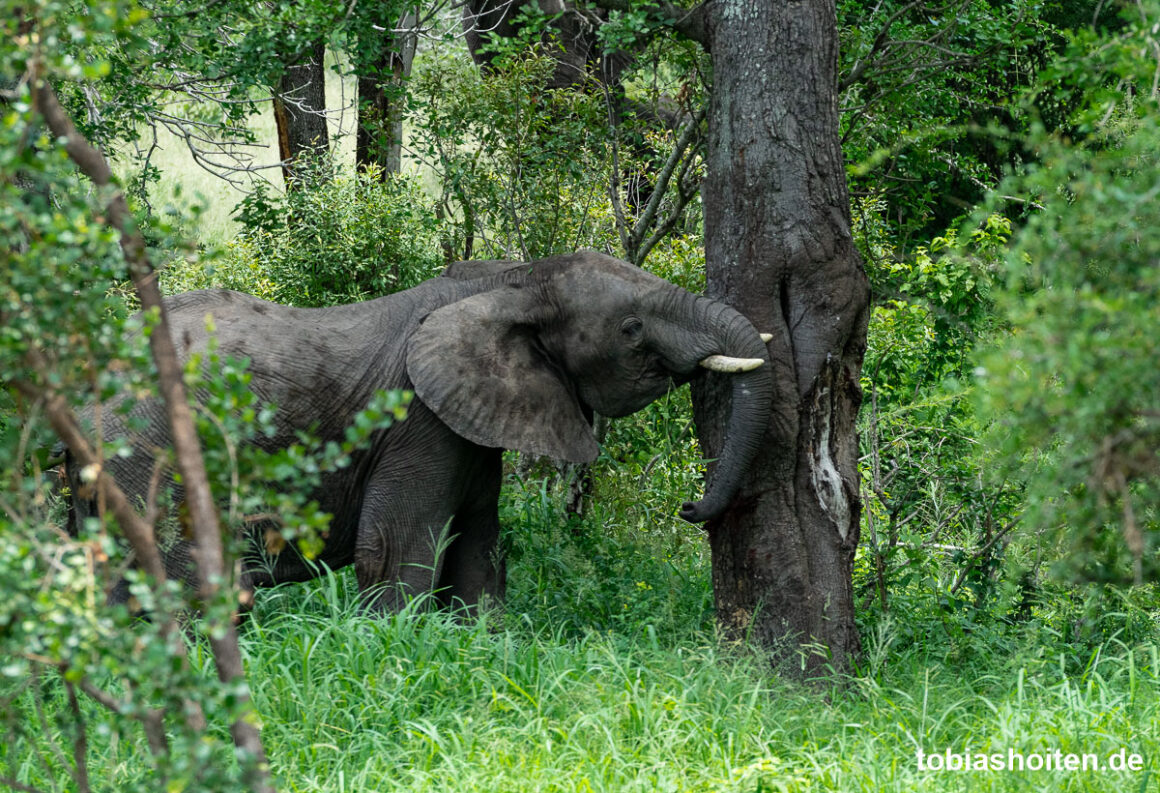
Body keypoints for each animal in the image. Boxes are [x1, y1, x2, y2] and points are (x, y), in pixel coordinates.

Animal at [61, 250, 770, 612]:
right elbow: (398, 549)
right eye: (631, 328)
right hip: (147, 453)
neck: (509, 281)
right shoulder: (418, 421)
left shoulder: (469, 425)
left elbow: (478, 551)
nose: (691, 506)